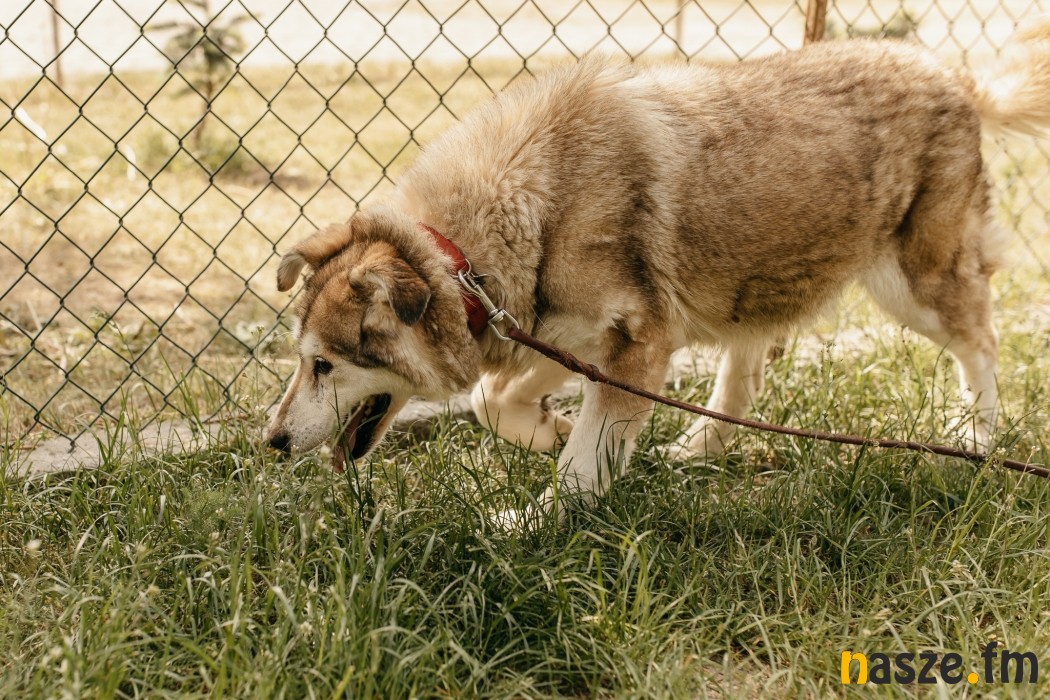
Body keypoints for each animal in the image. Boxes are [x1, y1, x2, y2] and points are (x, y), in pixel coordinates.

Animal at [266, 21, 1050, 518]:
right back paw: (696, 450)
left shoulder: (636, 342)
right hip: (751, 290)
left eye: (324, 364)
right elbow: (496, 400)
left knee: (982, 342)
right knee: (743, 383)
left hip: (914, 285)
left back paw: (977, 439)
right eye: (301, 361)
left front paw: (531, 521)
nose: (270, 444)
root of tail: (954, 75)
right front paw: (549, 431)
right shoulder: (570, 334)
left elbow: (579, 462)